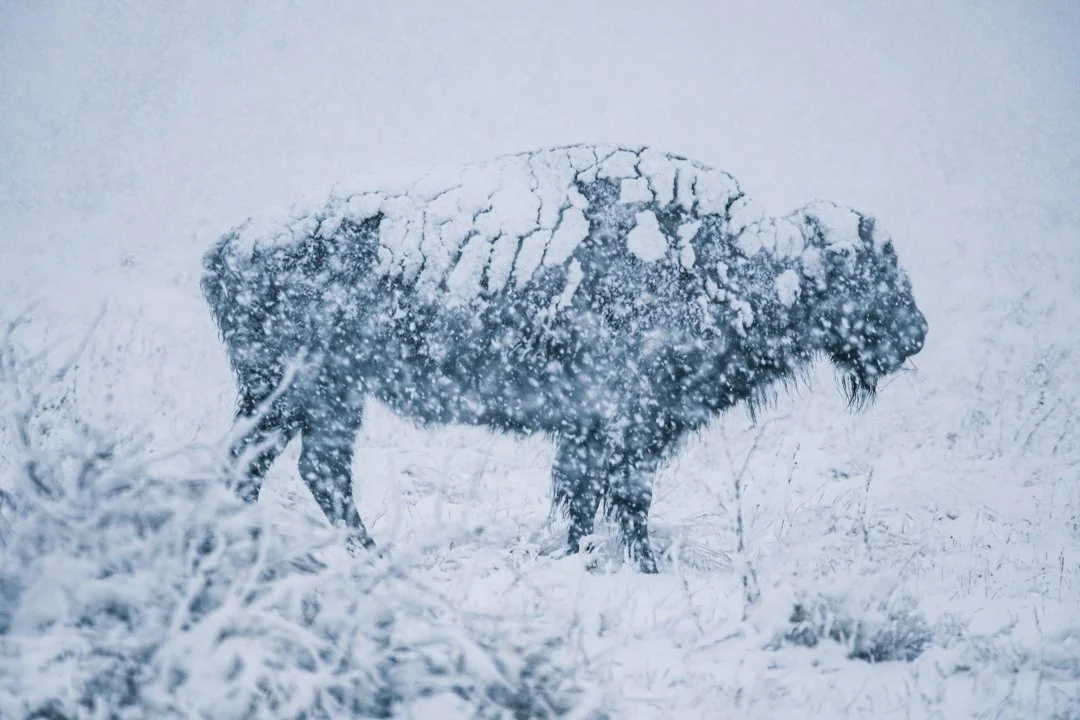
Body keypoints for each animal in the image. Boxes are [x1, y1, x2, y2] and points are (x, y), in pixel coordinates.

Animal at [203, 145, 927, 572]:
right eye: (866, 271)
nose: (915, 334)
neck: (731, 263)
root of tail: (230, 245)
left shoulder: (590, 432)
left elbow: (584, 501)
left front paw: (583, 559)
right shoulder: (626, 428)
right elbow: (623, 501)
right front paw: (642, 569)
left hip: (321, 398)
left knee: (290, 467)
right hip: (306, 391)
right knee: (294, 468)